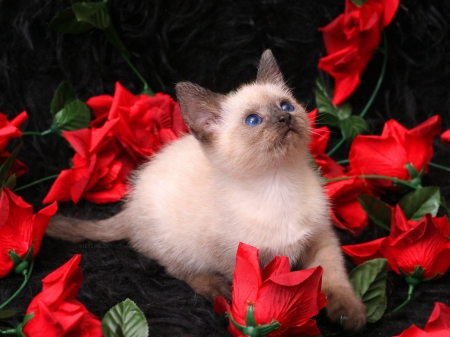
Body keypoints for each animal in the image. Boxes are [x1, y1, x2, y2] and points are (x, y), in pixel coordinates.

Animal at [47, 50, 368, 328]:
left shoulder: (321, 238)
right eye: (253, 120)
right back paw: (214, 287)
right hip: (177, 244)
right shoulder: (240, 258)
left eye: (286, 105)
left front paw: (349, 313)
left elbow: (333, 276)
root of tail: (131, 205)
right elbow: (253, 294)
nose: (285, 118)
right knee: (180, 269)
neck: (278, 183)